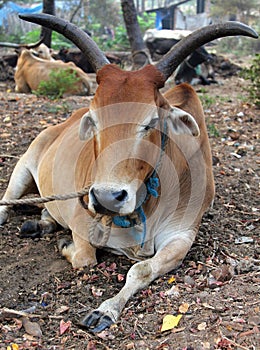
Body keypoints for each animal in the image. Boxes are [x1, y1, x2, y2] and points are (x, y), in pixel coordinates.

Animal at [0, 14, 256, 334]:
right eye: (93, 119)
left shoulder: (182, 235)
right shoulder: (81, 219)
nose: (107, 198)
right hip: (22, 167)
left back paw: (39, 224)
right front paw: (64, 244)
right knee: (7, 203)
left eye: (151, 122)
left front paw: (105, 310)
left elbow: (140, 269)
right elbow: (85, 258)